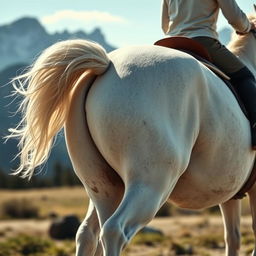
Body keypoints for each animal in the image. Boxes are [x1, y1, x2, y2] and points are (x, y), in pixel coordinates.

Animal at [8, 13, 256, 256]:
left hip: (104, 188)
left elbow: (233, 238)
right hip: (150, 184)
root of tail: (106, 65)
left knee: (88, 234)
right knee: (114, 231)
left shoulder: (230, 195)